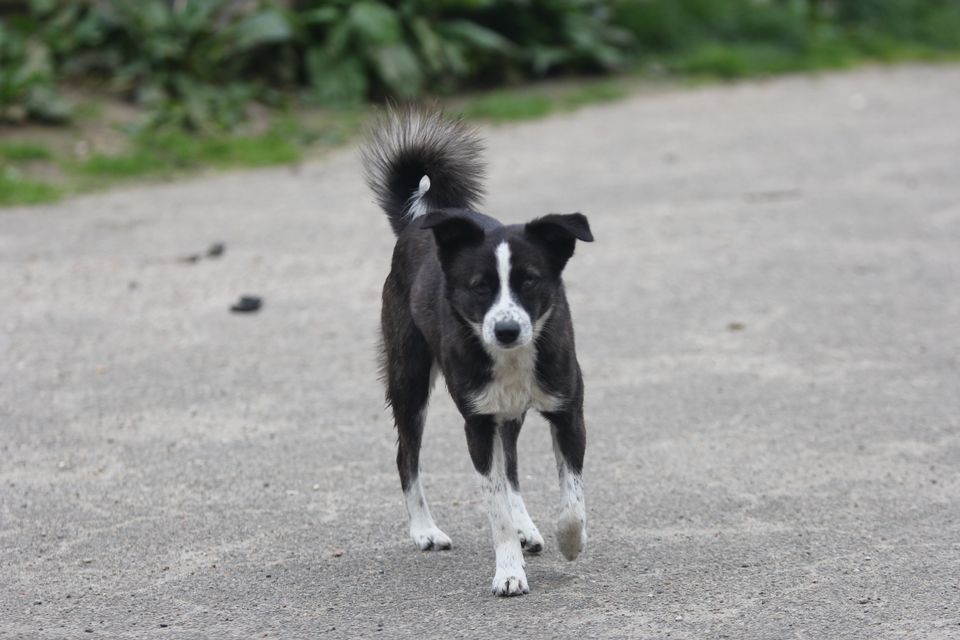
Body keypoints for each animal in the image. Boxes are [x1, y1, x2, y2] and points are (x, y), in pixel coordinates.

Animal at [362, 106, 592, 596]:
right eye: (478, 286)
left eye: (530, 281)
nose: (506, 330)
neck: (511, 358)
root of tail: (416, 224)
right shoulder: (477, 423)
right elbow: (495, 506)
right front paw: (508, 572)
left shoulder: (567, 411)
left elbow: (571, 500)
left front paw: (569, 541)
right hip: (409, 379)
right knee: (407, 456)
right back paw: (425, 531)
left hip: (507, 412)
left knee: (512, 469)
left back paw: (527, 527)